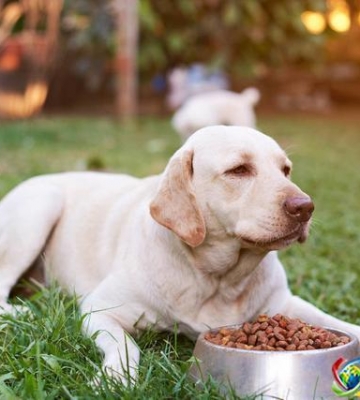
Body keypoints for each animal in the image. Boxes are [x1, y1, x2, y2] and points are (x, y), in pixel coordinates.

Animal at [0, 126, 360, 384]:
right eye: (239, 170)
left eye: (285, 170)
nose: (306, 207)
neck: (218, 278)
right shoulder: (98, 310)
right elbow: (126, 347)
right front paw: (115, 377)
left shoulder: (283, 304)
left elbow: (336, 323)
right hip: (40, 206)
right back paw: (22, 312)